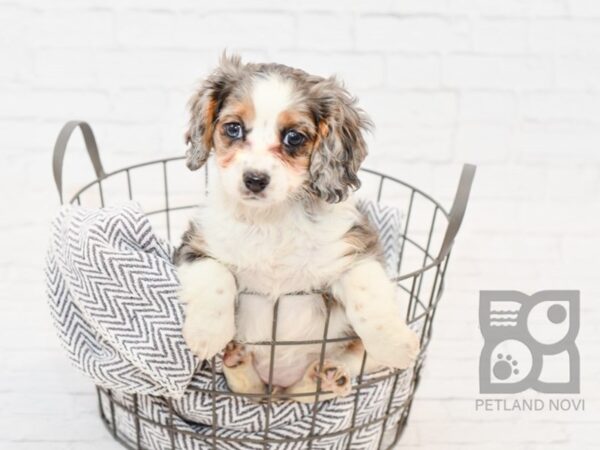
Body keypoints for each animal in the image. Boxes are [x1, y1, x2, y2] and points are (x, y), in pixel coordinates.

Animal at [175, 54, 418, 402]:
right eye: (233, 128)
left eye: (294, 137)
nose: (255, 180)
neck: (270, 219)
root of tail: (277, 385)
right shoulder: (196, 243)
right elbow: (215, 277)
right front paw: (207, 333)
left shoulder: (354, 247)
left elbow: (366, 291)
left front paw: (394, 344)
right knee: (248, 388)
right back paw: (236, 359)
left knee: (313, 386)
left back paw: (327, 378)